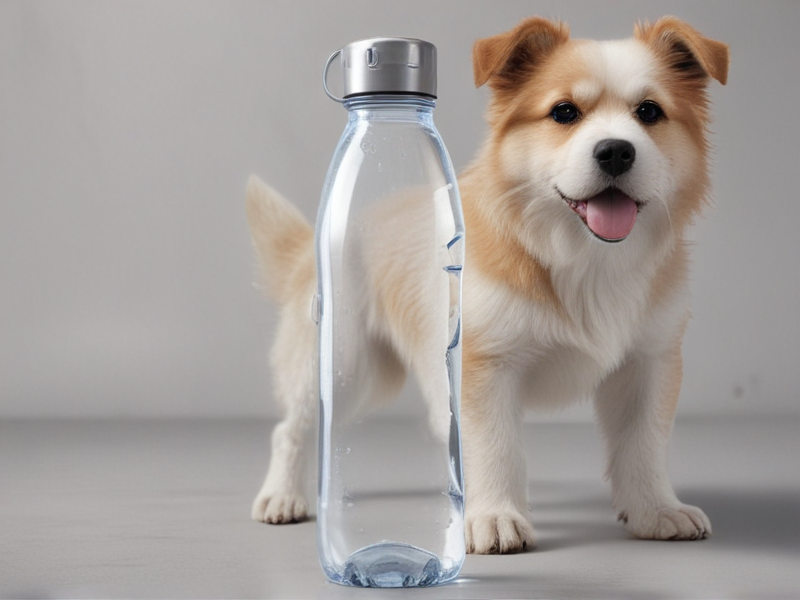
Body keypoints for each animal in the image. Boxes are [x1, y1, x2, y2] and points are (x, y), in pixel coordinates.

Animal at [247, 15, 728, 556]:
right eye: (564, 112)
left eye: (649, 112)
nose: (615, 152)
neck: (584, 258)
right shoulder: (485, 368)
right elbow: (497, 447)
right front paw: (496, 515)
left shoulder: (649, 363)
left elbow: (643, 444)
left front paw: (654, 510)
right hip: (345, 365)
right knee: (293, 429)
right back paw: (282, 495)